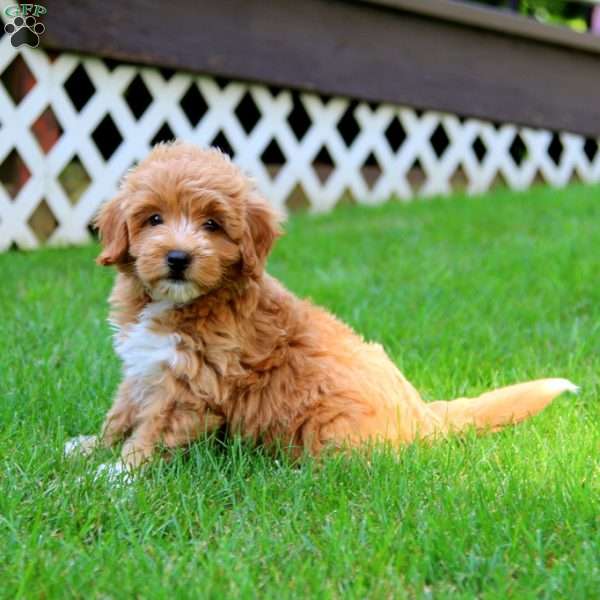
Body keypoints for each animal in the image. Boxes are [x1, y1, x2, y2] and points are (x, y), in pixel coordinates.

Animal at [68, 143, 580, 472]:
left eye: (212, 224)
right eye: (153, 218)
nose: (178, 258)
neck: (179, 304)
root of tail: (425, 415)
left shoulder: (192, 386)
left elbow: (151, 433)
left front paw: (115, 477)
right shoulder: (145, 367)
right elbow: (121, 413)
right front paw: (91, 448)